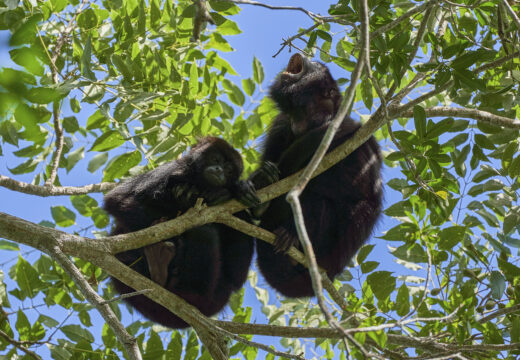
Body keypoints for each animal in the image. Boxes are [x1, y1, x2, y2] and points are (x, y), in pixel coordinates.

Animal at [104, 138, 260, 330]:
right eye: (215, 159)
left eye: (229, 170)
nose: (219, 170)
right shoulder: (169, 170)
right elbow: (118, 199)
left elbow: (237, 277)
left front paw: (235, 190)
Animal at [250, 53, 384, 298]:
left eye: (317, 66)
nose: (304, 55)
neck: (304, 116)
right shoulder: (282, 123)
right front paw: (261, 181)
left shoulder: (332, 123)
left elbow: (358, 187)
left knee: (332, 201)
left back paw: (292, 235)